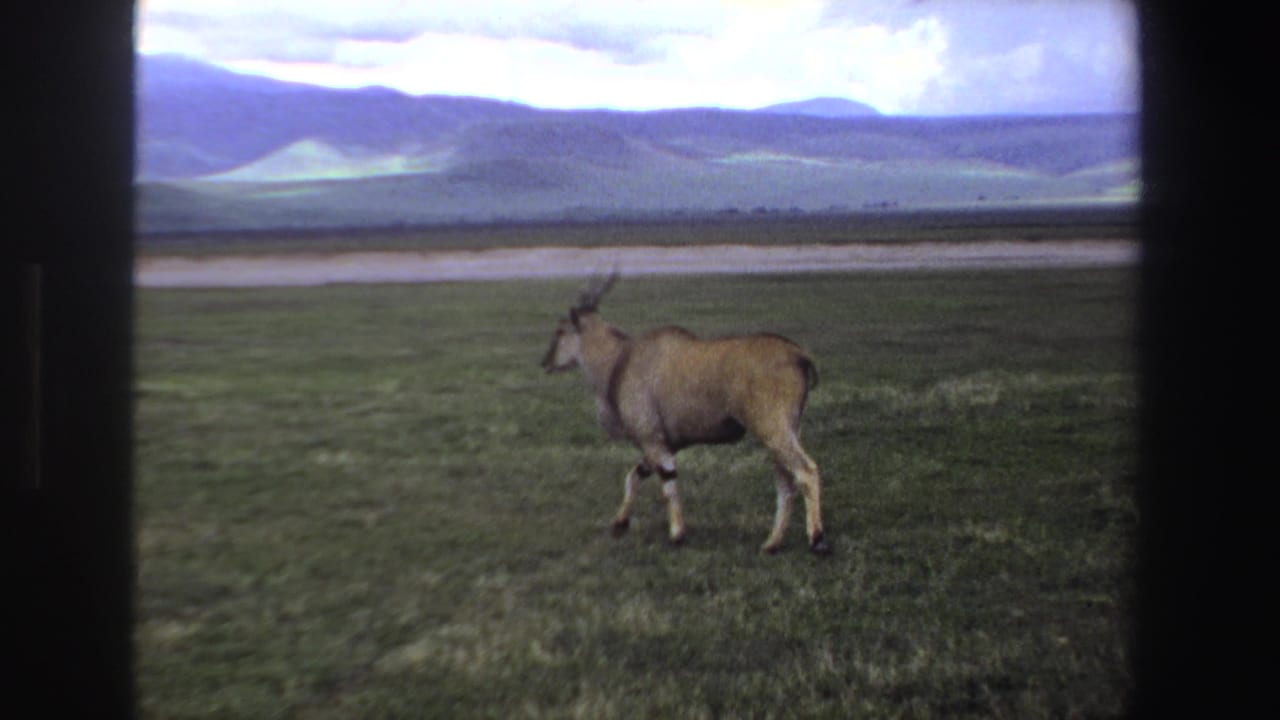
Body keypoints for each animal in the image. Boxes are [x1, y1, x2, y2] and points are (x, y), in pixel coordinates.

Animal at [541, 274, 831, 555]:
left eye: (561, 330)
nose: (545, 362)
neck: (620, 359)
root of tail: (797, 354)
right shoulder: (663, 445)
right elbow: (634, 475)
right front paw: (620, 522)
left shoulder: (653, 441)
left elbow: (667, 486)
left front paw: (677, 535)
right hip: (784, 432)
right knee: (786, 482)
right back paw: (772, 543)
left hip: (773, 431)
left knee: (805, 472)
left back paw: (817, 540)